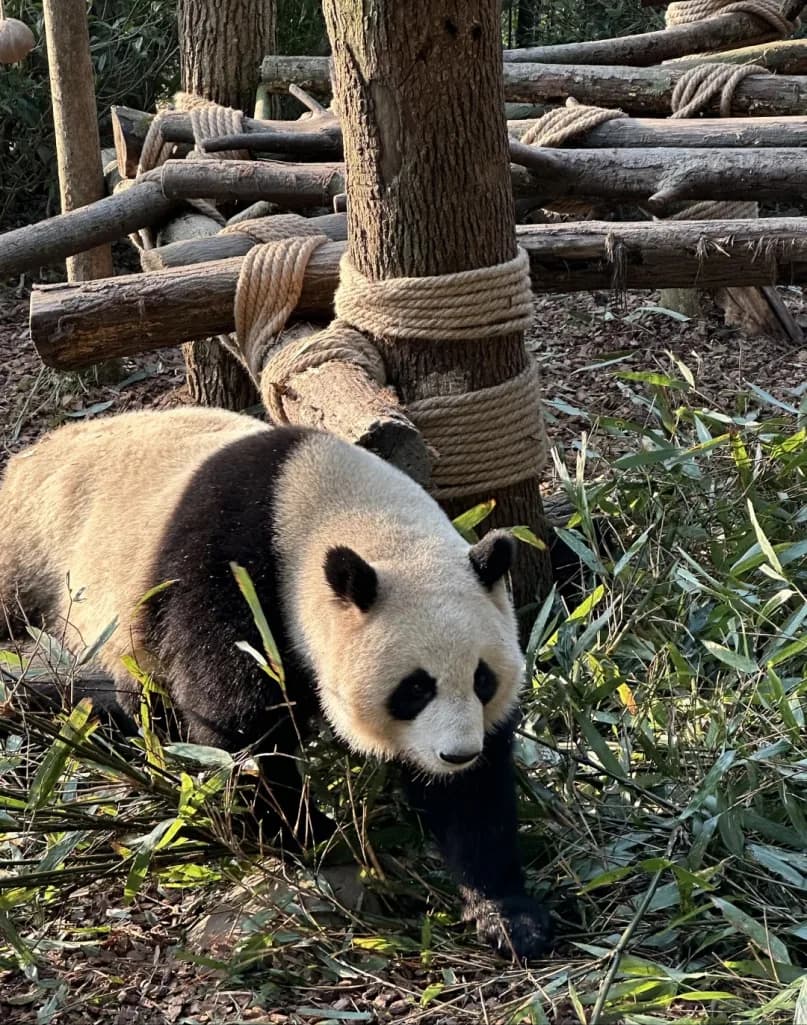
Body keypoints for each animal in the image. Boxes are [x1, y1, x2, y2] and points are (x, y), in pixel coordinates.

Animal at [0, 406, 552, 959]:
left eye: (483, 680)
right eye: (414, 689)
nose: (456, 754)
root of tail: (27, 457)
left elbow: (473, 798)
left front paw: (506, 914)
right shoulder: (224, 570)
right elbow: (237, 723)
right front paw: (313, 835)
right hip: (42, 558)